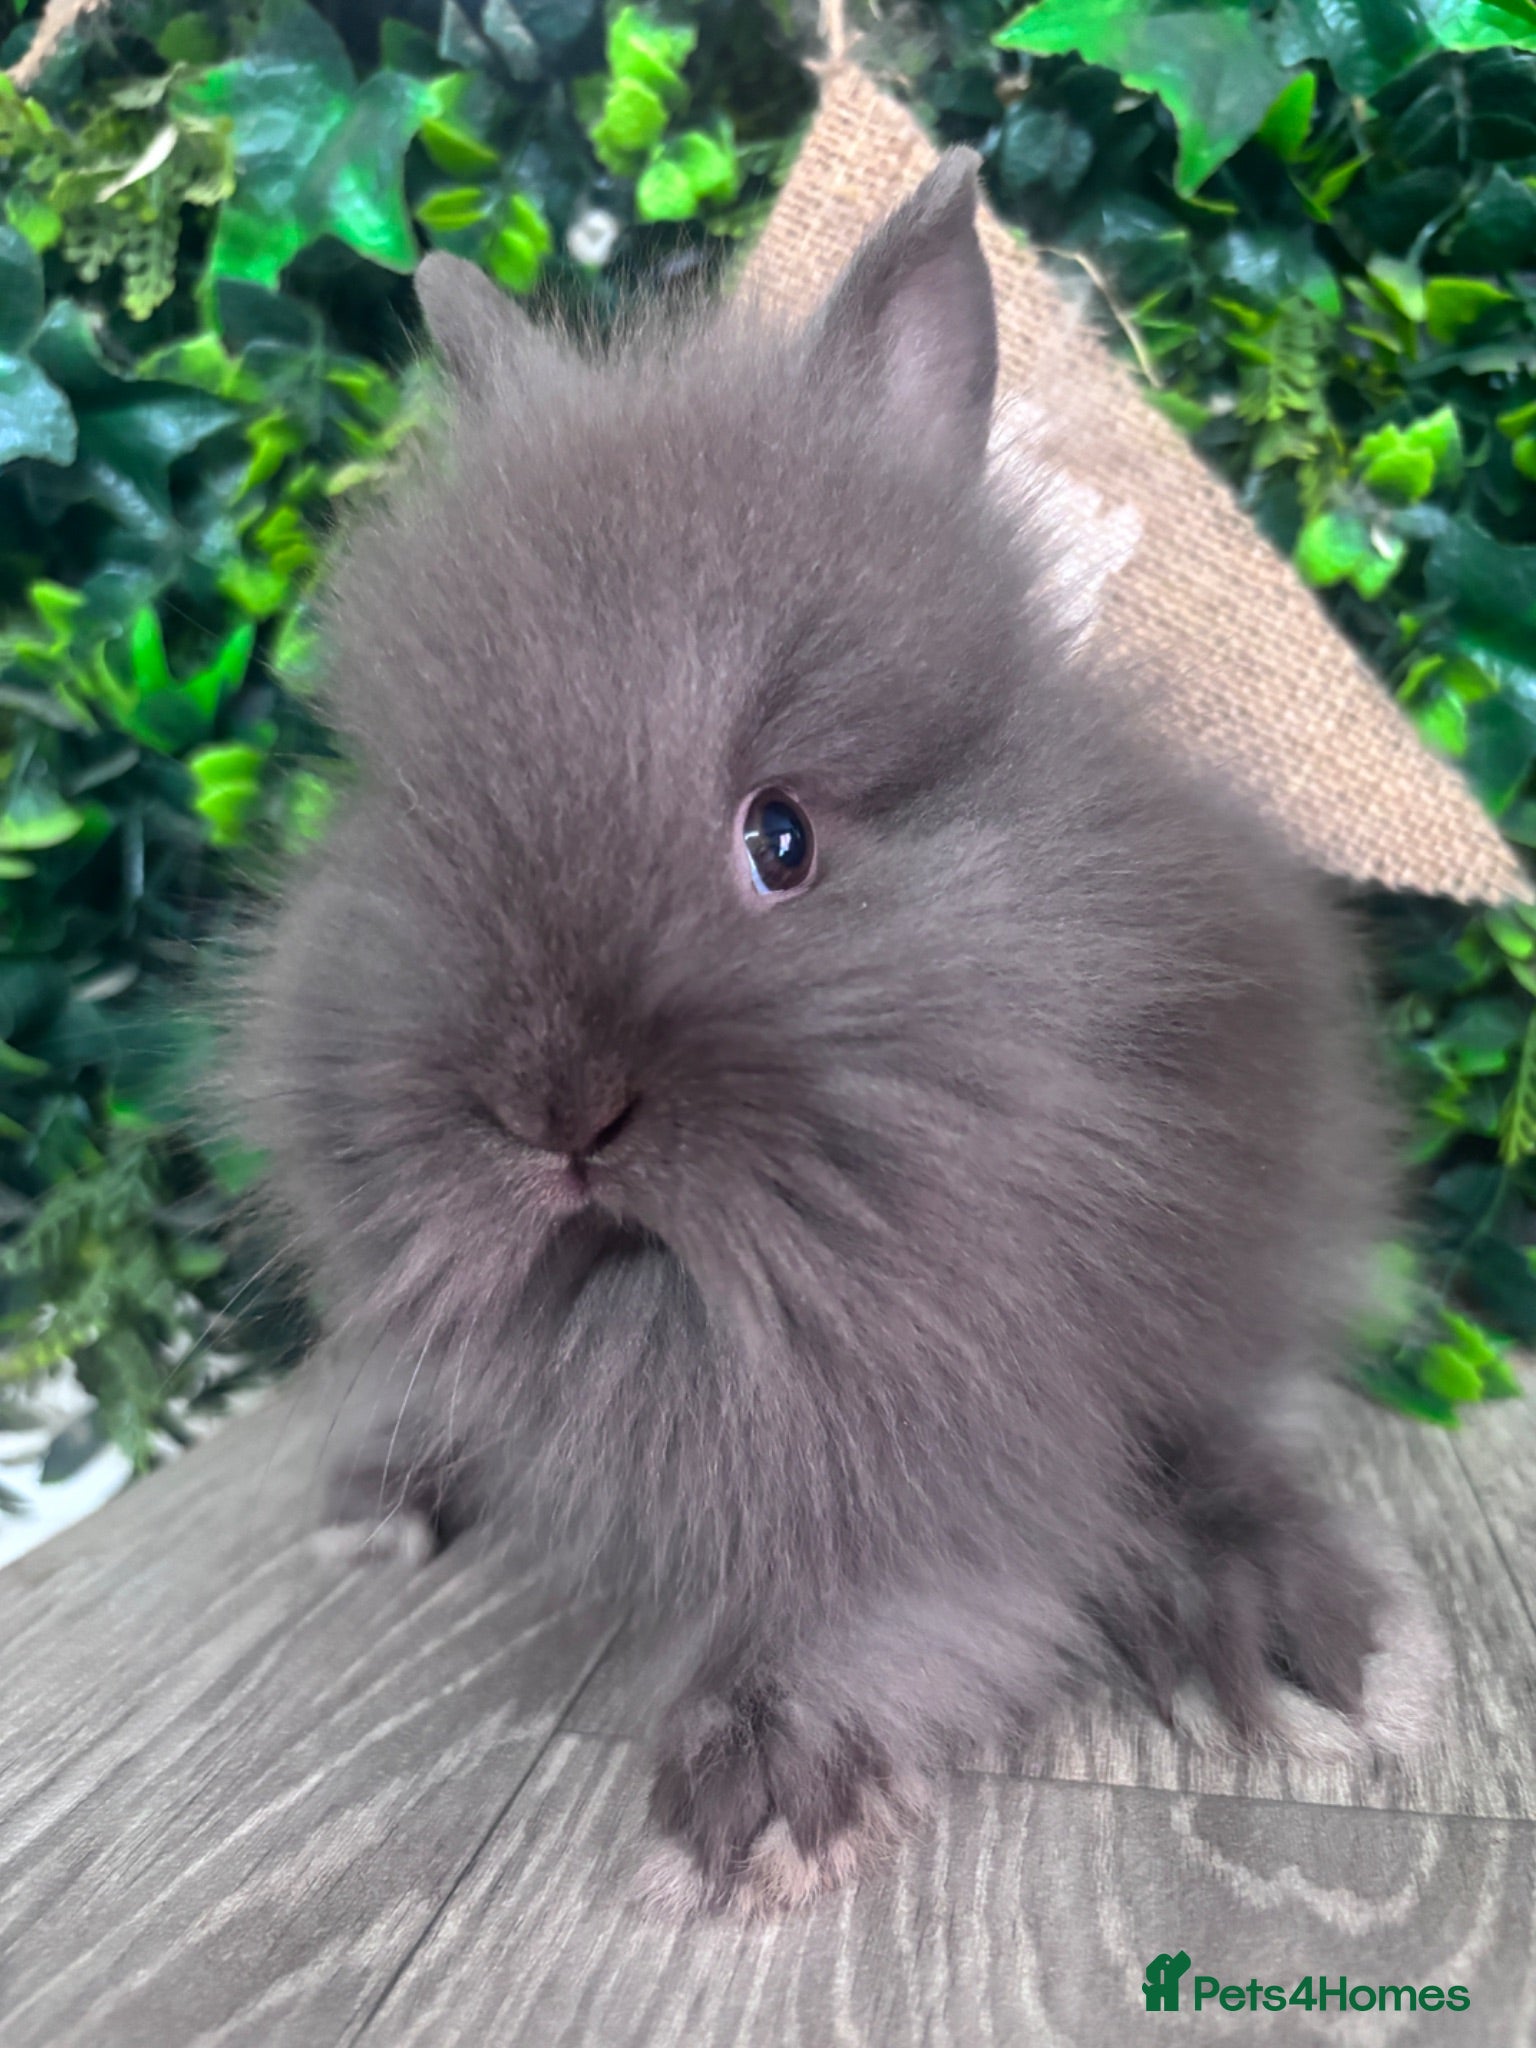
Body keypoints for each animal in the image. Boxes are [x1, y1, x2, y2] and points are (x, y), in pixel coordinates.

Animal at [235, 150, 1429, 1919]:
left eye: (781, 838)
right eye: (412, 816)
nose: (553, 1112)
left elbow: (1118, 1496)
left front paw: (1305, 1644)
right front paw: (760, 1803)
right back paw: (375, 1508)